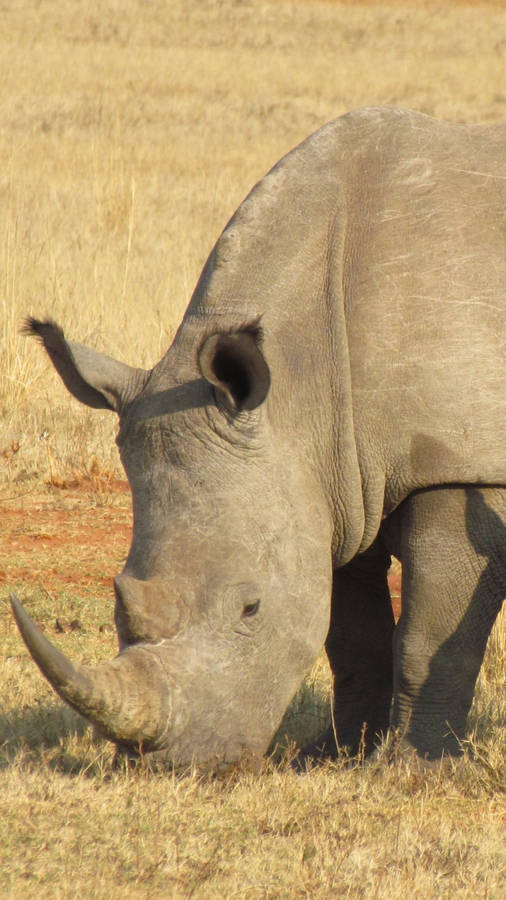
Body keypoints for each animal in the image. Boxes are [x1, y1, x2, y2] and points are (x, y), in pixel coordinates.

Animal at [11, 107, 506, 767]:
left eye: (250, 607)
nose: (176, 767)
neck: (303, 383)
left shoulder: (461, 466)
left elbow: (429, 637)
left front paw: (411, 766)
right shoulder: (336, 479)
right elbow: (351, 634)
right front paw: (332, 756)